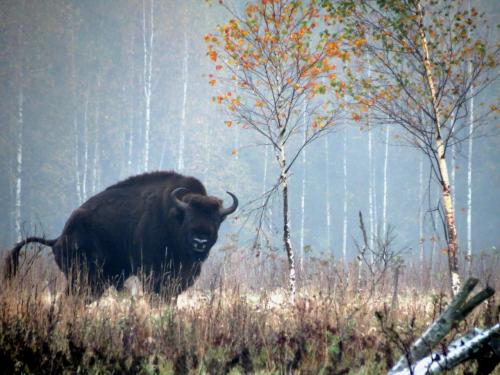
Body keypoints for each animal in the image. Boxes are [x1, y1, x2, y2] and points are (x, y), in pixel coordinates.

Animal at [3, 172, 238, 298]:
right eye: (189, 218)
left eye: (216, 220)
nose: (200, 241)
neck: (173, 217)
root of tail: (58, 239)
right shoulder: (151, 273)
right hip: (85, 277)